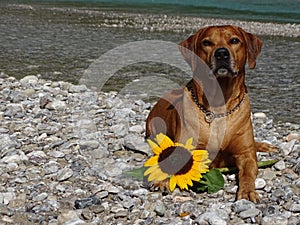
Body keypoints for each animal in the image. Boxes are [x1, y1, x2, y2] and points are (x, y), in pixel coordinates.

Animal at [146, 25, 276, 203]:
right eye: (206, 42)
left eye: (234, 40)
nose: (221, 53)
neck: (219, 105)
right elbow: (172, 161)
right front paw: (162, 180)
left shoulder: (246, 154)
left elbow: (248, 173)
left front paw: (248, 191)